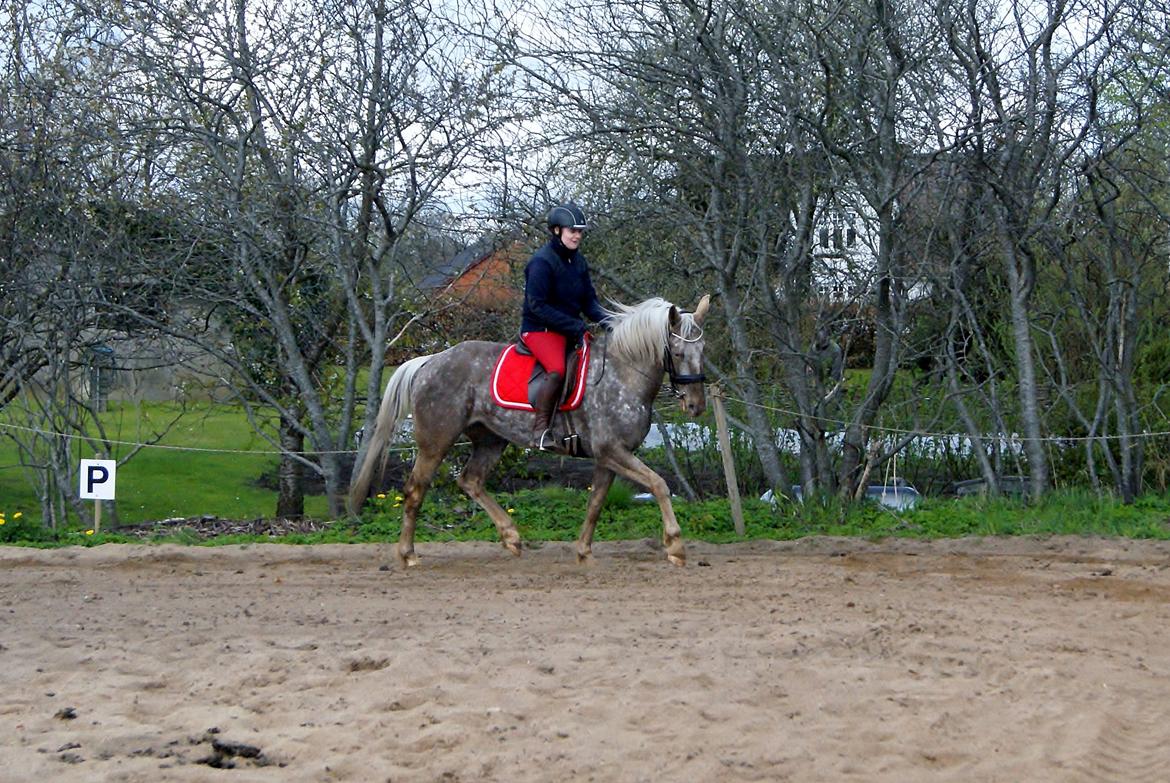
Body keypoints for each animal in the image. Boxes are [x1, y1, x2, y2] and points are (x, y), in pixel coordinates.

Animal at [346, 296, 711, 564]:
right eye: (678, 352)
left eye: (702, 351)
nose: (695, 406)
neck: (622, 374)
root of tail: (430, 360)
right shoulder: (612, 451)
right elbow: (659, 484)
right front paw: (675, 546)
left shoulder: (609, 457)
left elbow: (596, 502)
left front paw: (583, 551)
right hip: (436, 442)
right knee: (414, 491)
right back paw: (408, 554)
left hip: (490, 440)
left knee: (470, 481)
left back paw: (512, 537)